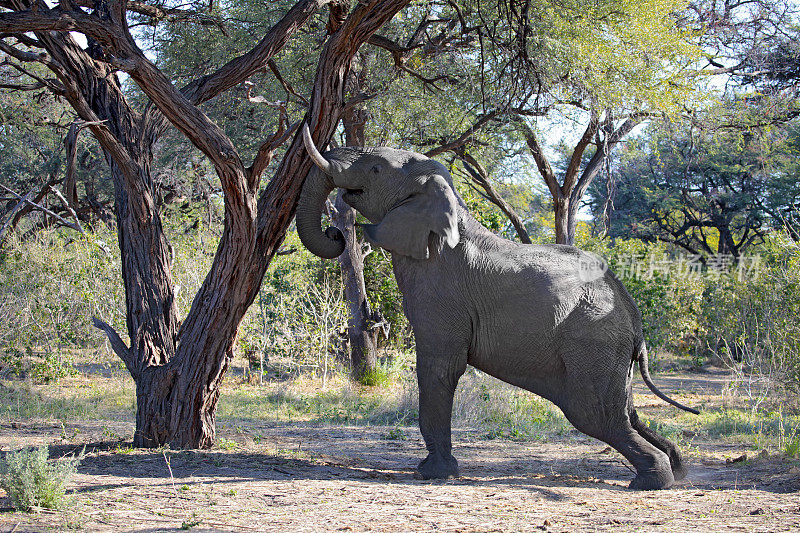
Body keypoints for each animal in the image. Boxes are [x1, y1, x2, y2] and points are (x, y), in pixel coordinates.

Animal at [296, 122, 696, 488]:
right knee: (624, 411)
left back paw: (652, 481)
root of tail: (633, 317)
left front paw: (433, 474)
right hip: (608, 355)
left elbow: (440, 368)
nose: (335, 232)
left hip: (593, 345)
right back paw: (675, 468)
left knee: (595, 414)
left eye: (376, 169)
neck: (446, 202)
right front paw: (433, 470)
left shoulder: (442, 295)